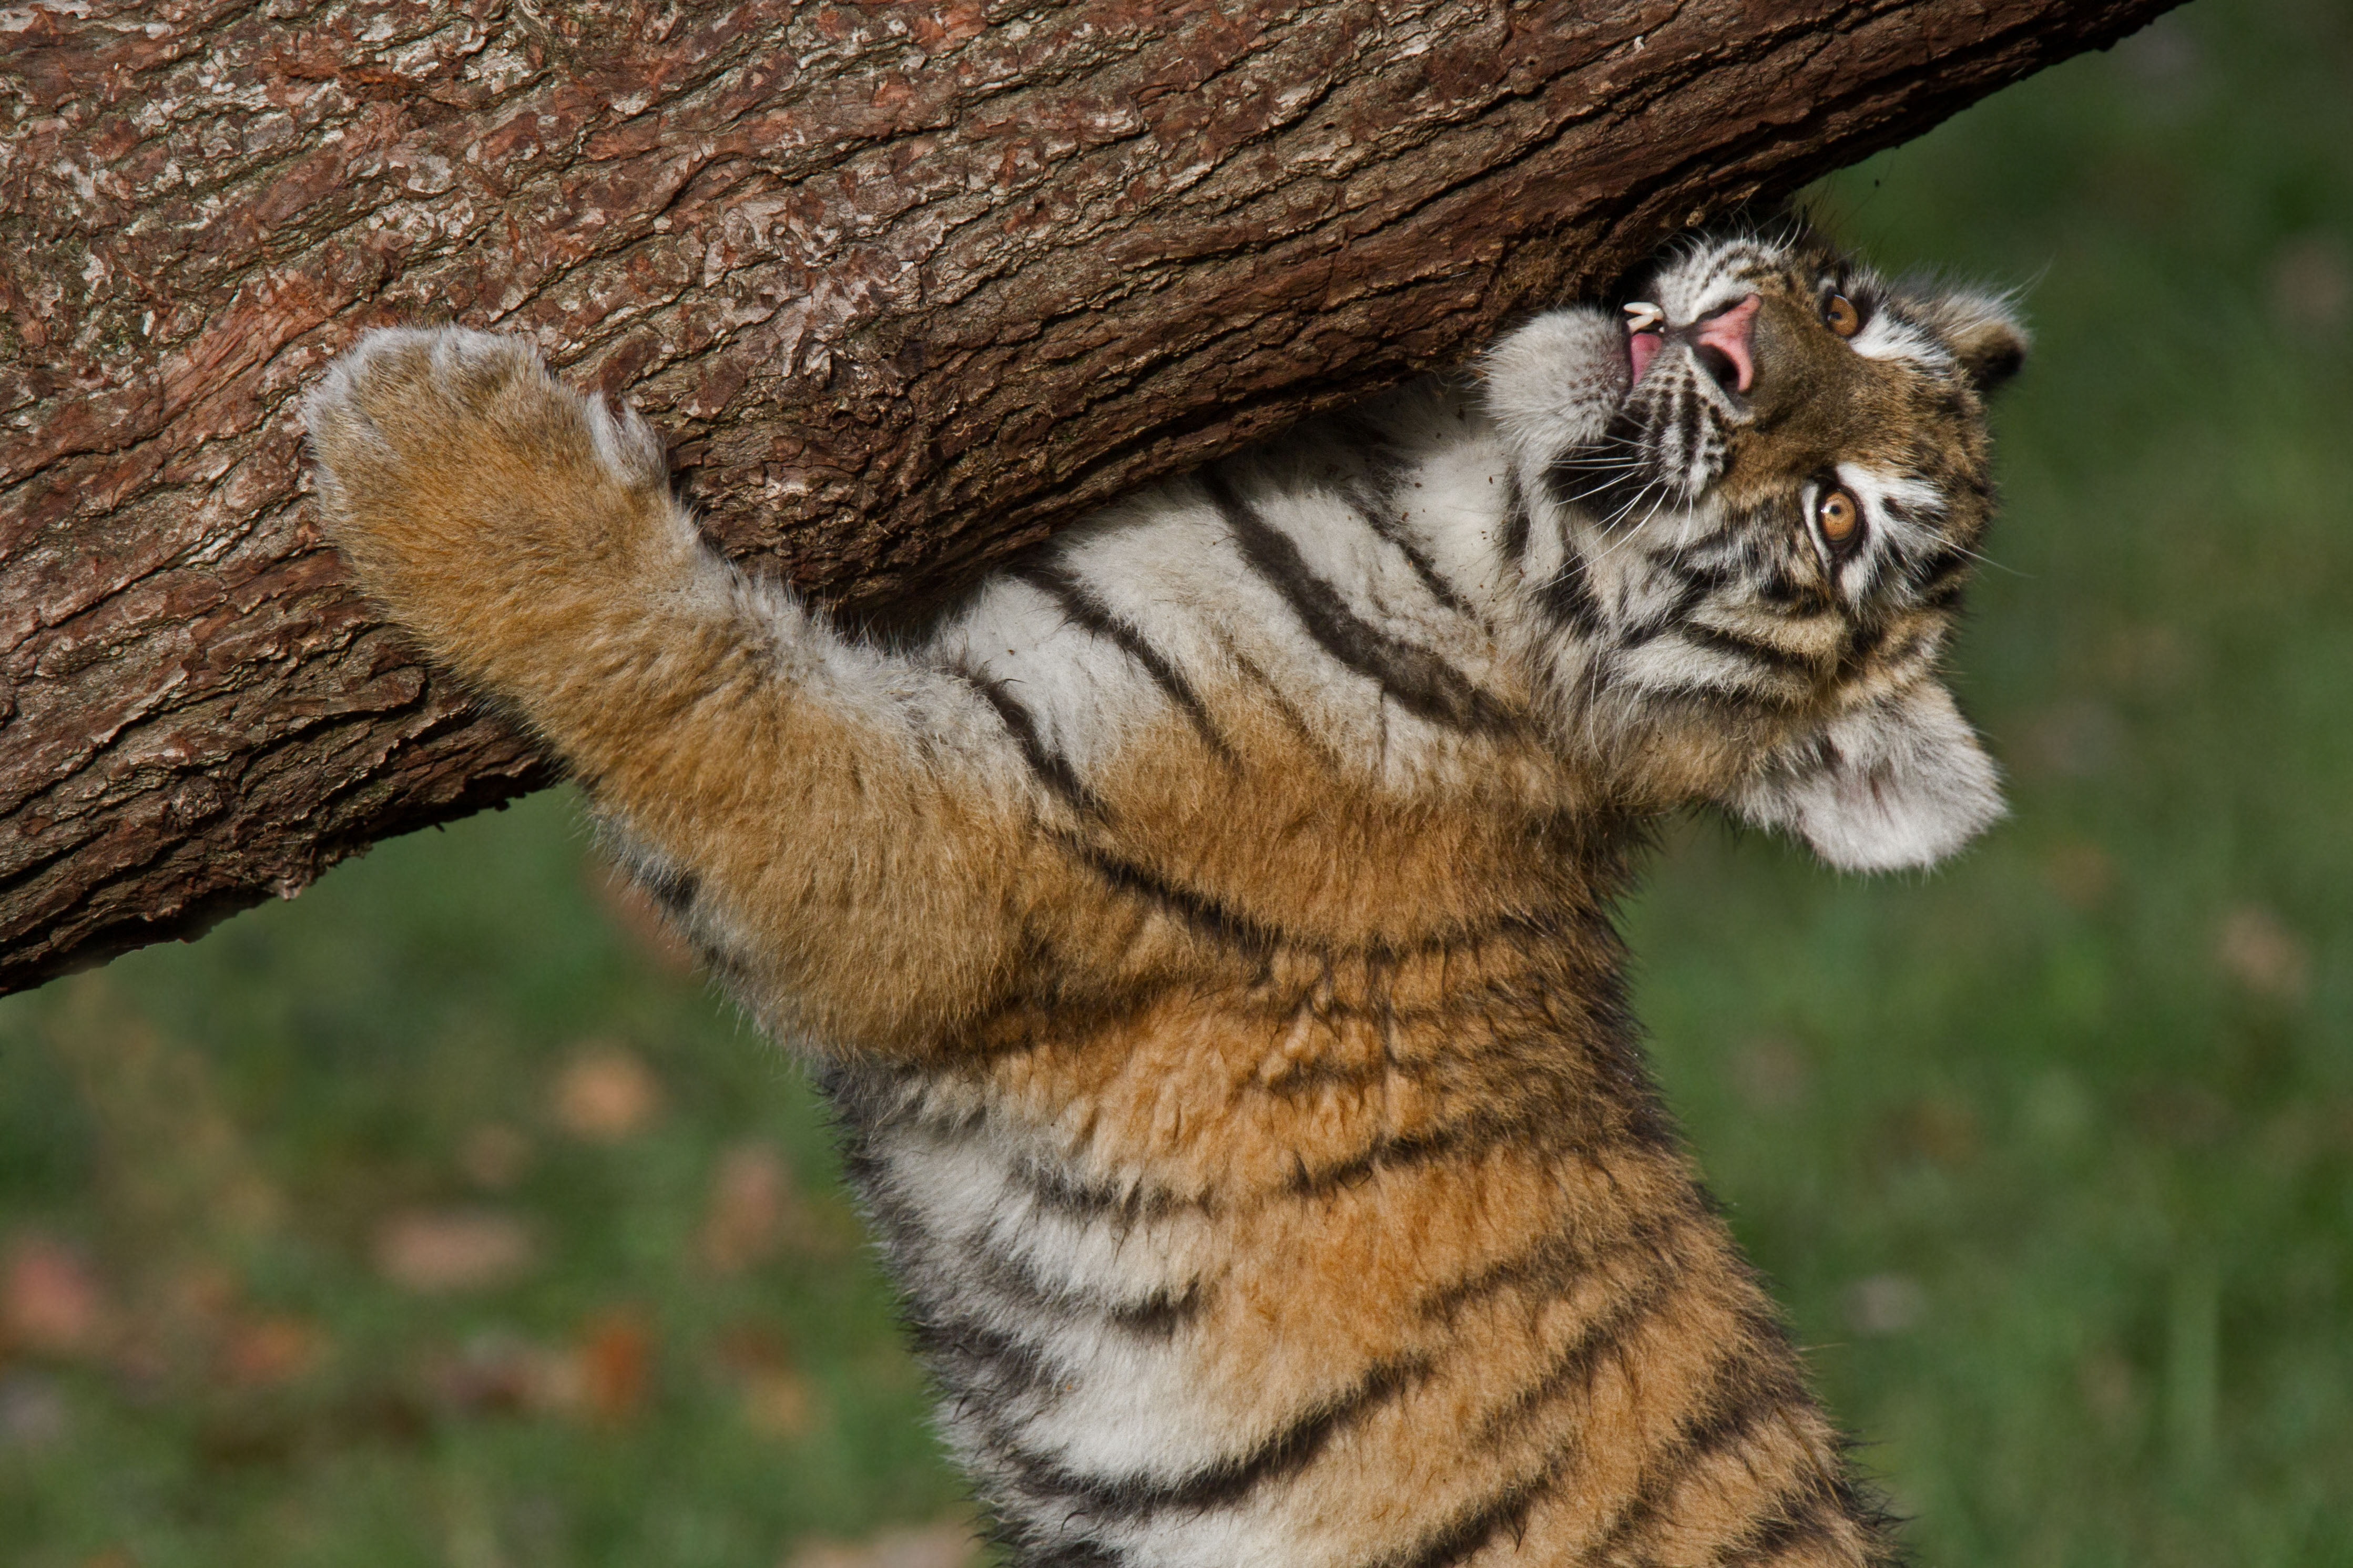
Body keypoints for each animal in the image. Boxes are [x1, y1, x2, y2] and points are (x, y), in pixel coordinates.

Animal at [302, 222, 2028, 1568]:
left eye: (1834, 518)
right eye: (1841, 315)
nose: (1735, 344)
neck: (1446, 512)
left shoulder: (951, 857)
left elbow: (686, 680)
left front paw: (429, 441)